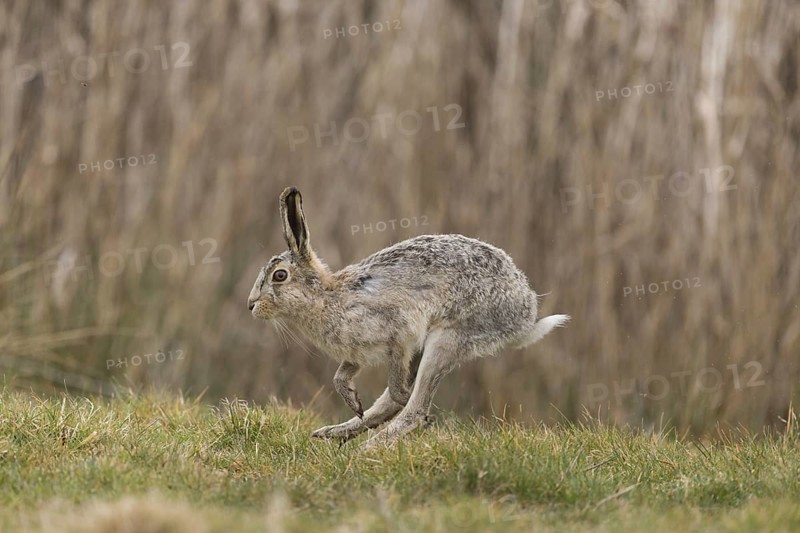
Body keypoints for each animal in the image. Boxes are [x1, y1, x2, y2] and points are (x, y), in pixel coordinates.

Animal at [248, 187, 569, 449]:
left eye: (279, 276)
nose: (251, 305)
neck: (326, 296)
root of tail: (525, 313)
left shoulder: (399, 335)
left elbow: (395, 388)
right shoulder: (359, 354)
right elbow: (342, 376)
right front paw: (352, 399)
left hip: (446, 340)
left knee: (414, 409)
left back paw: (370, 447)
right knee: (393, 404)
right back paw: (335, 432)